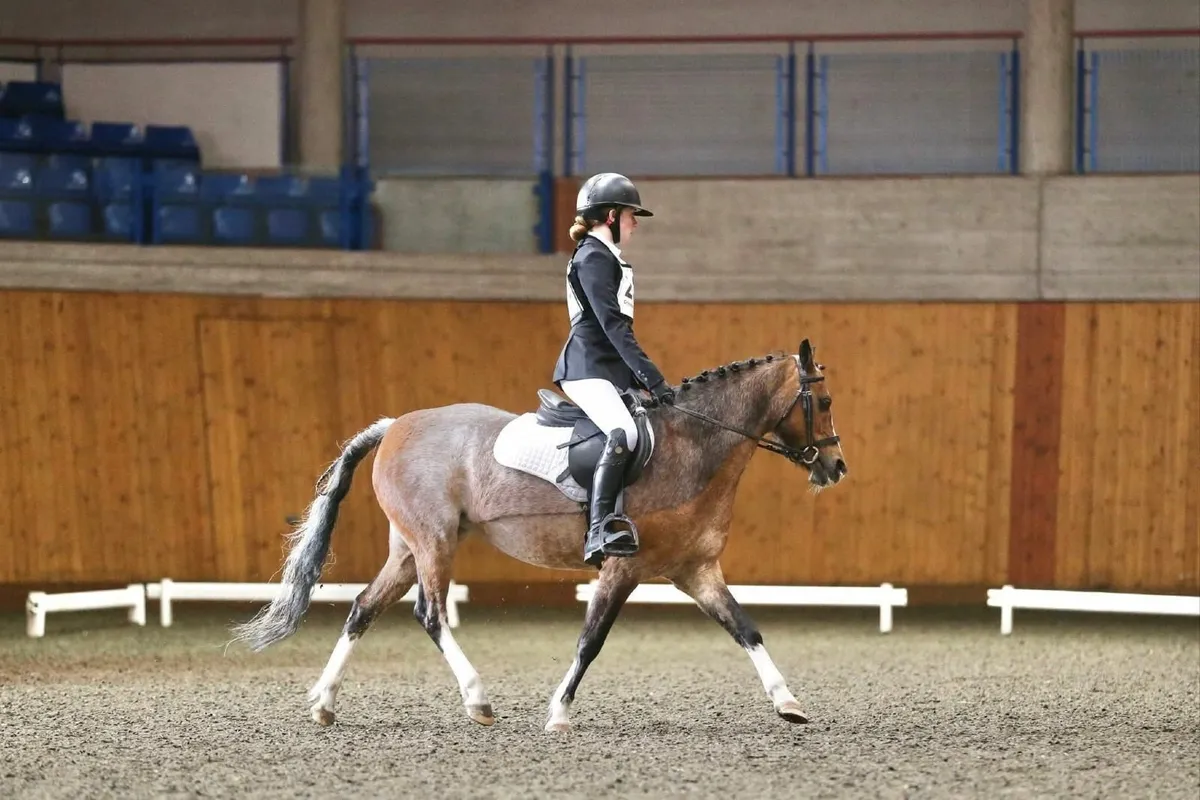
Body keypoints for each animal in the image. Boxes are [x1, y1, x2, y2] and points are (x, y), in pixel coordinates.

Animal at [229, 338, 847, 732]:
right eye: (824, 401)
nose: (835, 468)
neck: (693, 446)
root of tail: (395, 425)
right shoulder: (622, 568)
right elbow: (590, 641)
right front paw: (558, 712)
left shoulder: (696, 571)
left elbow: (746, 629)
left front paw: (788, 702)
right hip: (433, 543)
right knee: (430, 614)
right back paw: (477, 700)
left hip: (407, 549)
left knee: (362, 609)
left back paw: (324, 703)